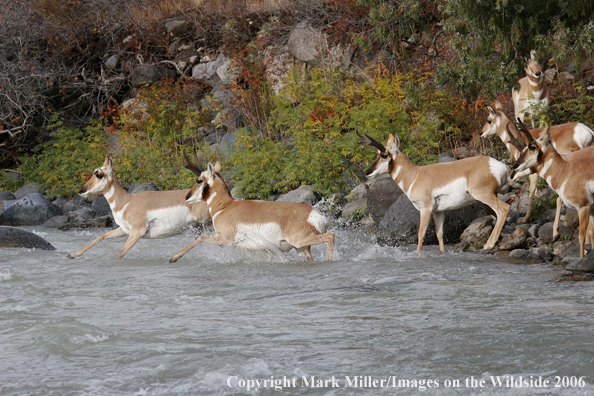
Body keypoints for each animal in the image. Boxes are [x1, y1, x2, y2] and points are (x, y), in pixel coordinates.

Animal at [67, 155, 208, 260]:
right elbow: (101, 236)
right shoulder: (124, 230)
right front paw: (72, 254)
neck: (127, 201)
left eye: (99, 174)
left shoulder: (137, 232)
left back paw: (174, 257)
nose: (82, 190)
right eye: (93, 172)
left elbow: (121, 251)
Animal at [168, 159, 332, 262]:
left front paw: (173, 258)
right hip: (301, 248)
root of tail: (314, 214)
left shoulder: (225, 239)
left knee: (330, 236)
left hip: (300, 241)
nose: (187, 197)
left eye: (199, 180)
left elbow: (200, 237)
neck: (225, 206)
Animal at [356, 133, 508, 251]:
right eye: (376, 154)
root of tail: (501, 166)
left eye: (383, 155)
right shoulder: (438, 211)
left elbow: (421, 234)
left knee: (504, 209)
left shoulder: (426, 208)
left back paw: (489, 245)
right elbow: (439, 234)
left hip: (483, 195)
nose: (367, 173)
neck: (415, 175)